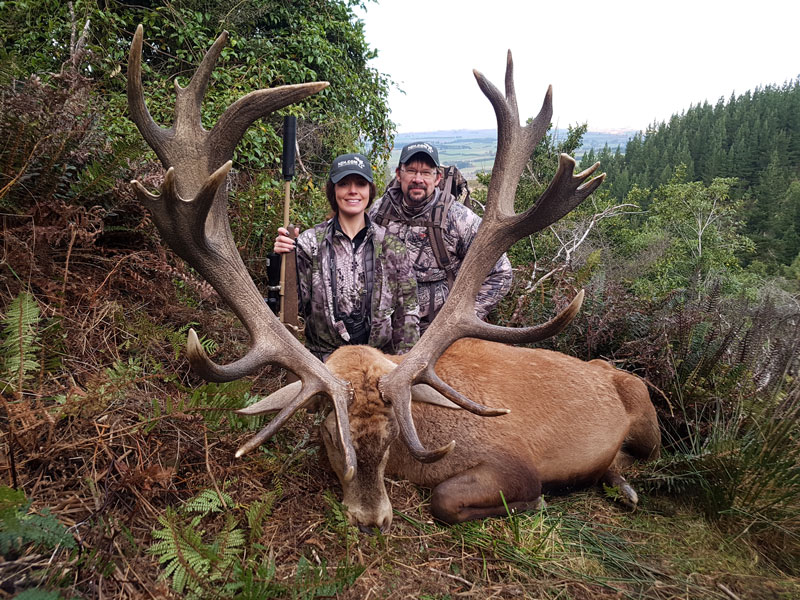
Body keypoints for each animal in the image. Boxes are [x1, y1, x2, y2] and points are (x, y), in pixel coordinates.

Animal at [127, 25, 660, 533]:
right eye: (328, 434)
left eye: (392, 437)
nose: (370, 521)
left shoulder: (515, 462)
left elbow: (449, 498)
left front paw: (538, 500)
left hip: (647, 413)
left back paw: (625, 485)